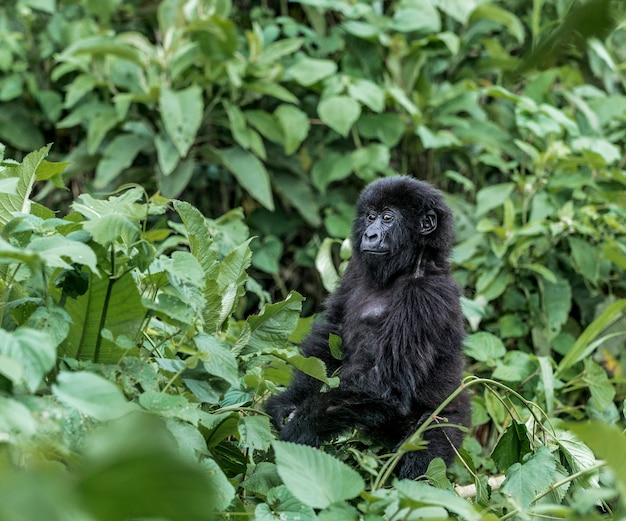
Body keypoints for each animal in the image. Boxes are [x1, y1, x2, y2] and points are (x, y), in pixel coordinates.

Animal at [264, 176, 468, 480]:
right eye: (371, 216)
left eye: (388, 218)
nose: (370, 235)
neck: (408, 266)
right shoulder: (355, 269)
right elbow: (328, 341)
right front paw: (288, 401)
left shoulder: (425, 296)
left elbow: (387, 383)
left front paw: (303, 426)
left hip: (447, 420)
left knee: (423, 468)